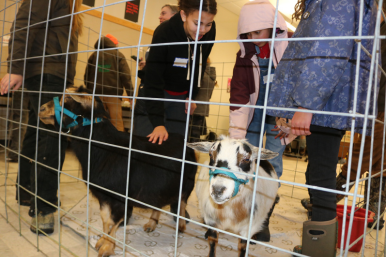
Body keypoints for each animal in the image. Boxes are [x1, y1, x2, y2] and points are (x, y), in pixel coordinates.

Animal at [38, 86, 198, 256]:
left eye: (68, 98)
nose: (41, 109)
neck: (105, 150)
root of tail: (187, 144)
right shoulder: (103, 195)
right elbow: (105, 218)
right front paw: (102, 241)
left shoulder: (120, 196)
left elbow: (113, 220)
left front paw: (107, 248)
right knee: (160, 202)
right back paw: (151, 224)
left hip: (188, 183)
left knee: (182, 202)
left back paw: (181, 226)